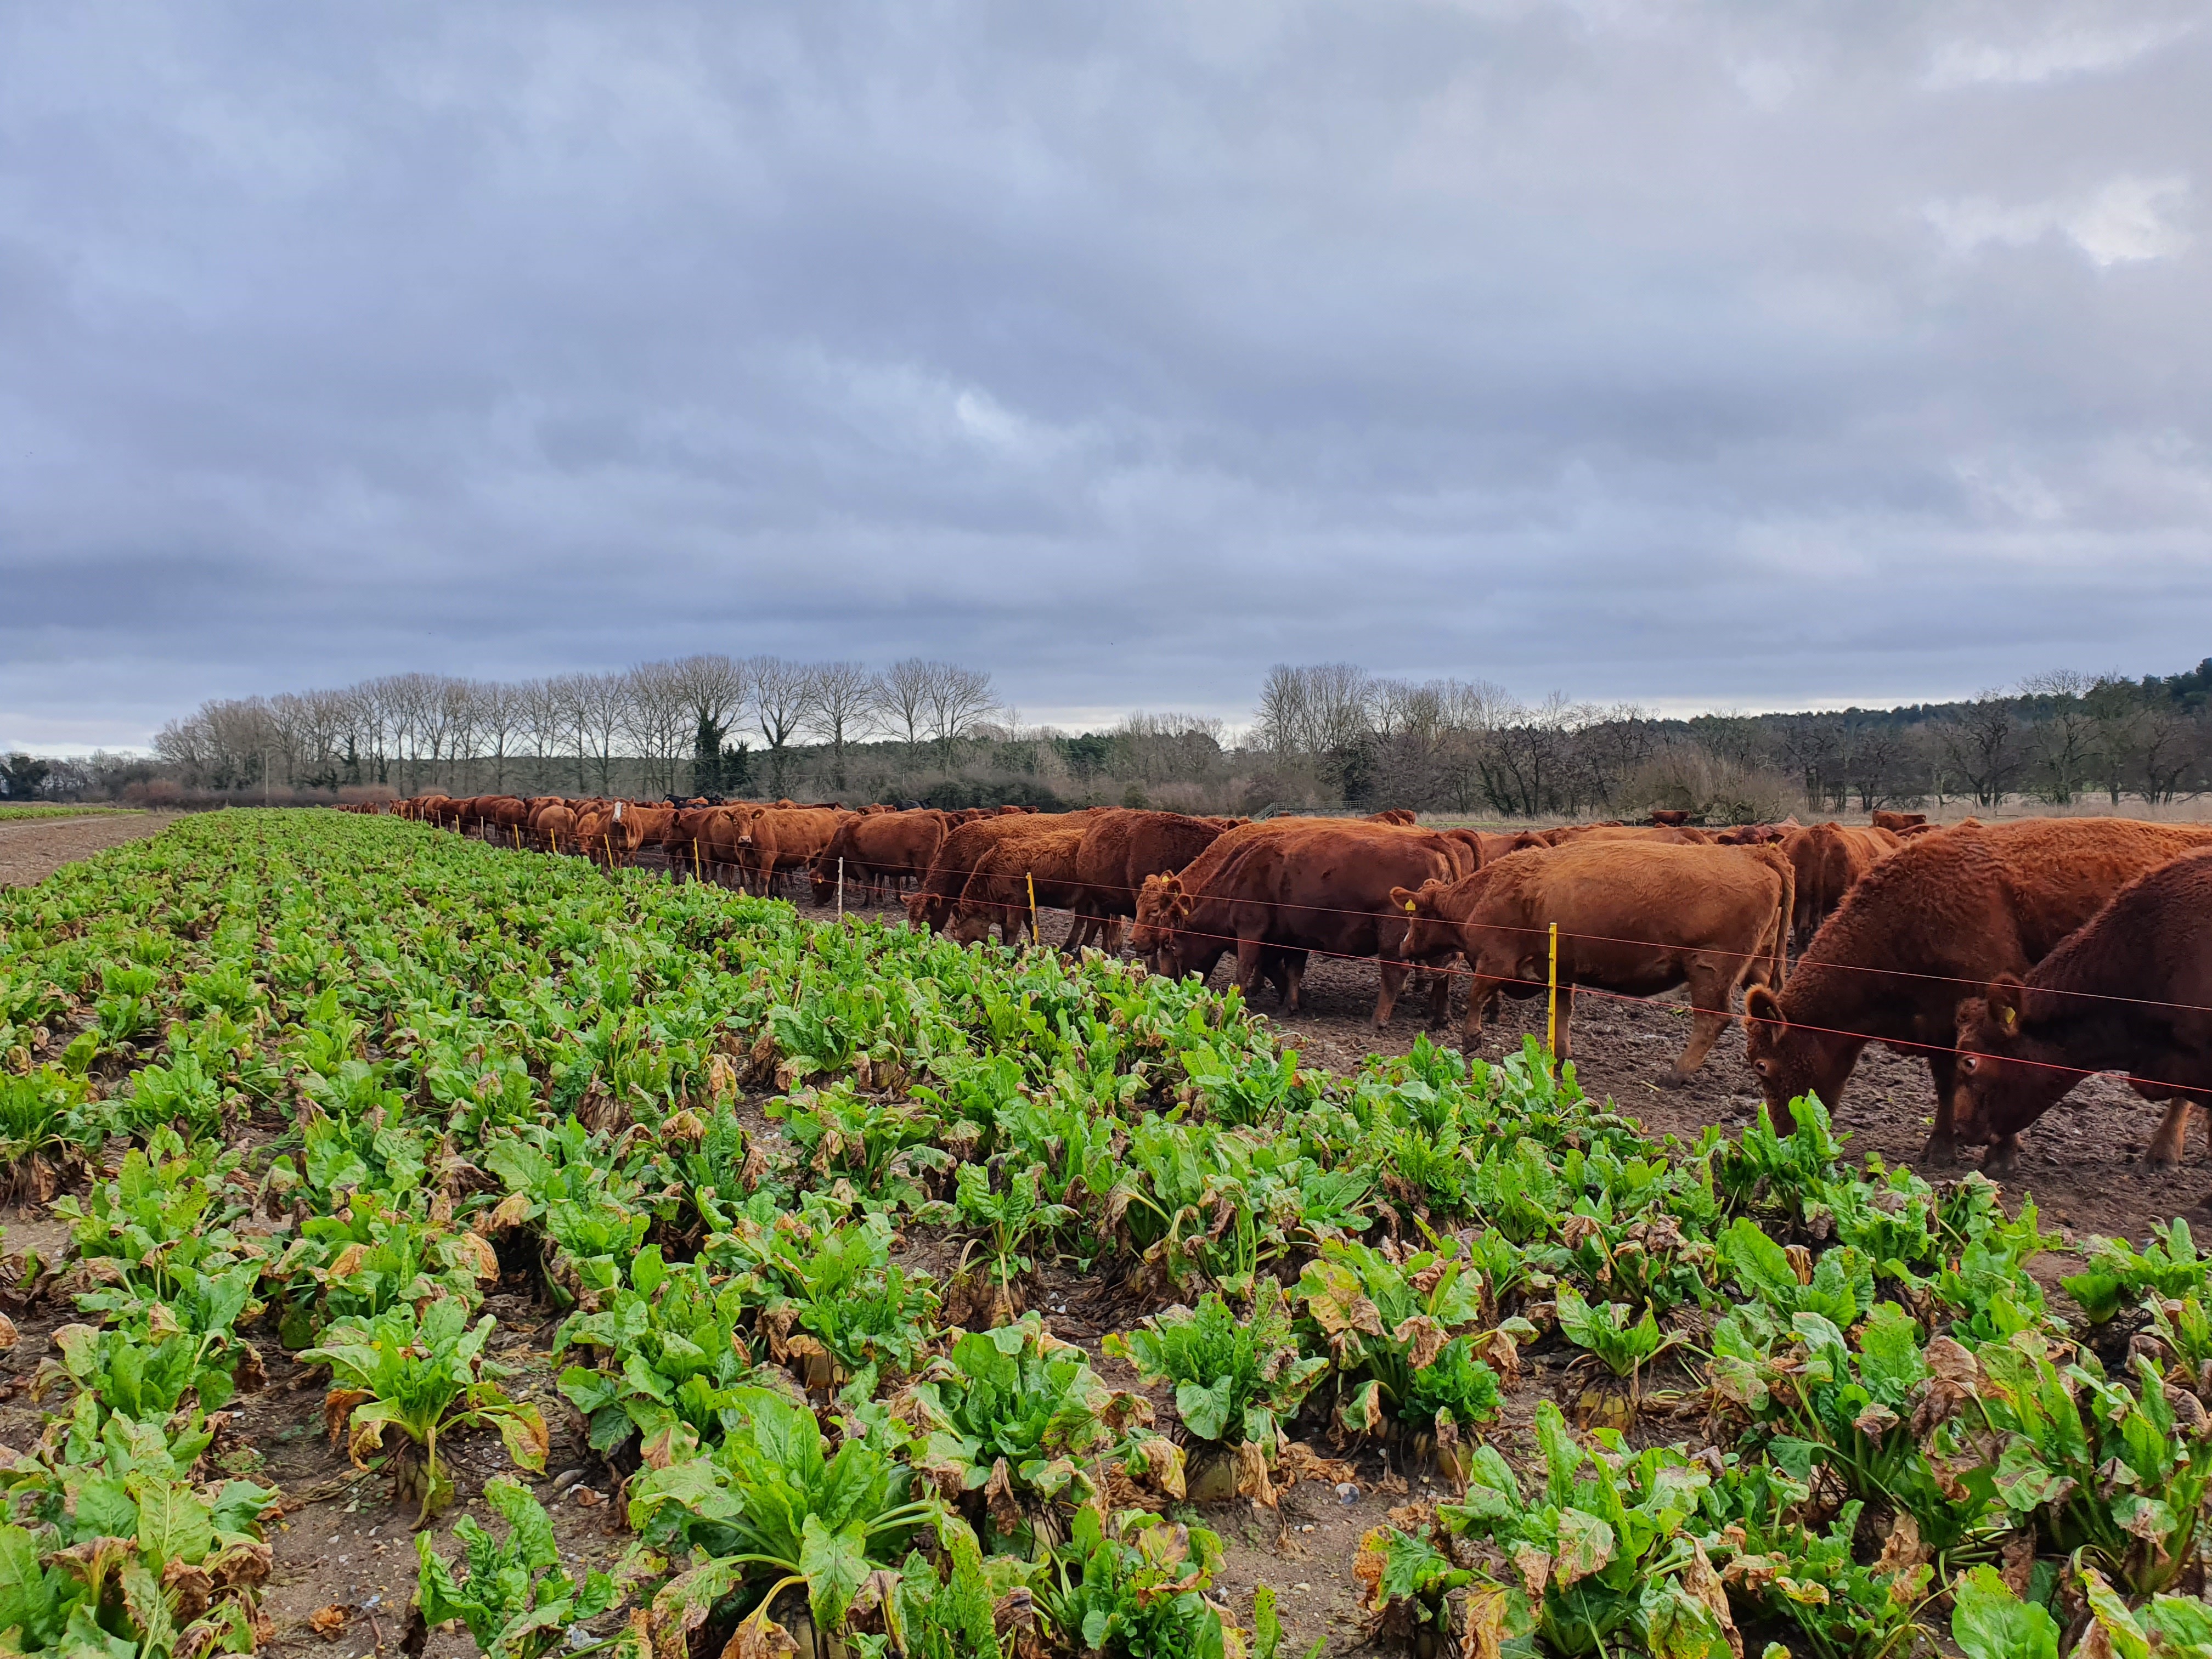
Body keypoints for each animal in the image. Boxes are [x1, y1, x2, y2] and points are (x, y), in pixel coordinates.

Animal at [1128, 819, 1466, 1025]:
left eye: (1170, 943)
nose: (1167, 983)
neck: (1241, 872)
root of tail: (1432, 840)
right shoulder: (1292, 938)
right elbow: (1290, 971)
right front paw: (1290, 1003)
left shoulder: (1251, 932)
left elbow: (1245, 969)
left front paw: (1238, 1001)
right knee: (1444, 972)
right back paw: (1440, 1018)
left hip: (1393, 936)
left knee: (1396, 973)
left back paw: (1378, 1020)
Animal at [1392, 841, 1792, 1081]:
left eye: (1413, 917)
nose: (1403, 946)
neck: (1485, 893)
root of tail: (1755, 852)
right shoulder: (1561, 971)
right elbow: (1562, 1011)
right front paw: (1560, 1056)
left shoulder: (1496, 962)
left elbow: (1478, 995)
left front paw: (1471, 1038)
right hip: (1752, 970)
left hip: (1710, 971)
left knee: (1713, 1020)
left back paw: (1676, 1073)